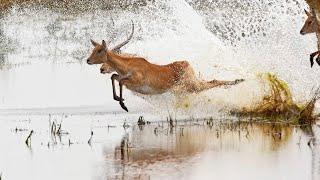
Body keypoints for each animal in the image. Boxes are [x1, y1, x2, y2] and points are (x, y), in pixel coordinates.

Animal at [86, 21, 244, 111]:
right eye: (93, 49)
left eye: (100, 50)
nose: (88, 61)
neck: (128, 64)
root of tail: (186, 62)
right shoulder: (124, 79)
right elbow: (114, 77)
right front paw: (120, 100)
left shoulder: (136, 82)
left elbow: (120, 81)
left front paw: (123, 105)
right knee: (211, 82)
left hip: (192, 86)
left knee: (212, 82)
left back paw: (240, 81)